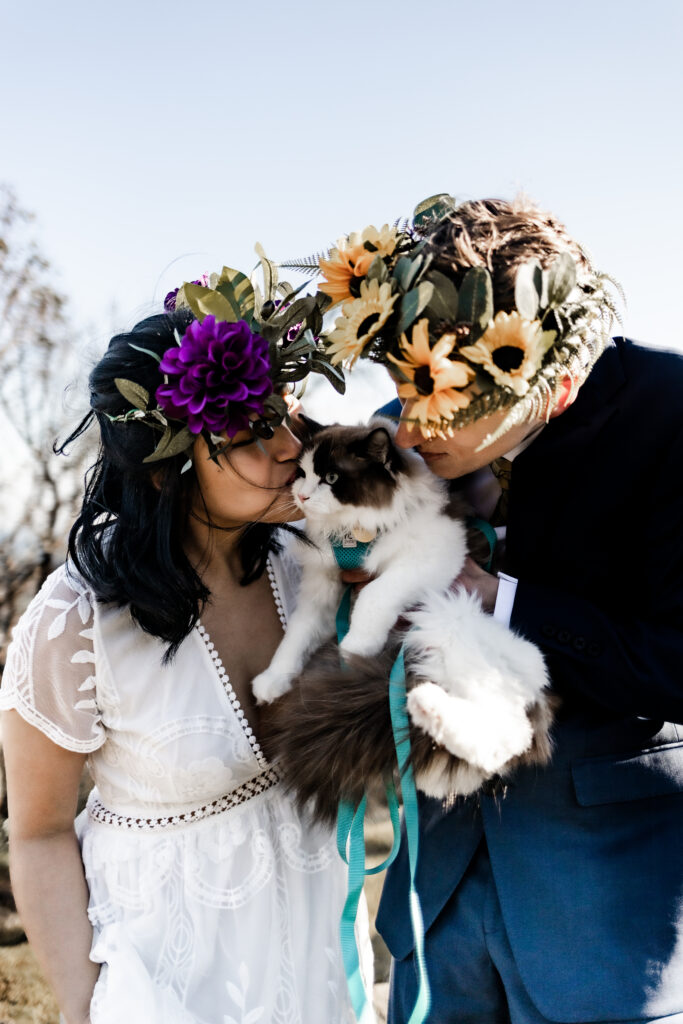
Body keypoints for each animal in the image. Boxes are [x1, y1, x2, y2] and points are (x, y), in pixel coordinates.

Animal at [253, 415, 552, 815]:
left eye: (331, 478)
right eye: (301, 474)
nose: (301, 496)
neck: (352, 533)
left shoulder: (434, 555)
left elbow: (375, 596)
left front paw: (355, 647)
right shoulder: (321, 592)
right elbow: (295, 639)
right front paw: (272, 681)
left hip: (456, 620)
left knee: (508, 732)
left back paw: (426, 702)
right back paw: (425, 710)